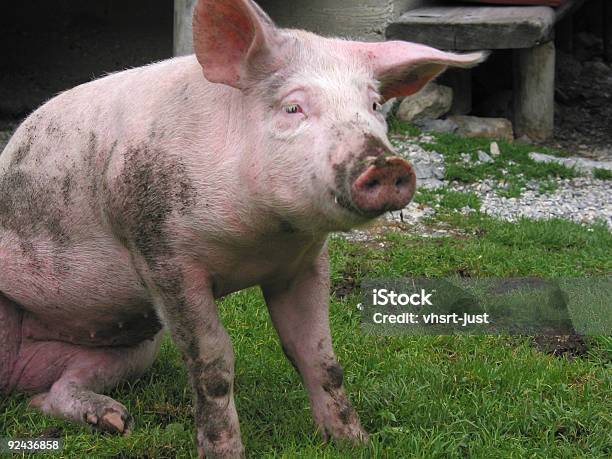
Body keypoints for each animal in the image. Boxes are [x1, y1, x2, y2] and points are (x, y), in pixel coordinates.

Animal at [1, 1, 488, 458]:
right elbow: (212, 363)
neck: (262, 240)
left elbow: (319, 355)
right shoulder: (161, 254)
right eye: (293, 106)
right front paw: (225, 452)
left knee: (54, 393)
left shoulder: (305, 262)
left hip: (134, 349)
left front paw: (356, 444)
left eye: (372, 106)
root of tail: (21, 377)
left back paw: (115, 421)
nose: (386, 164)